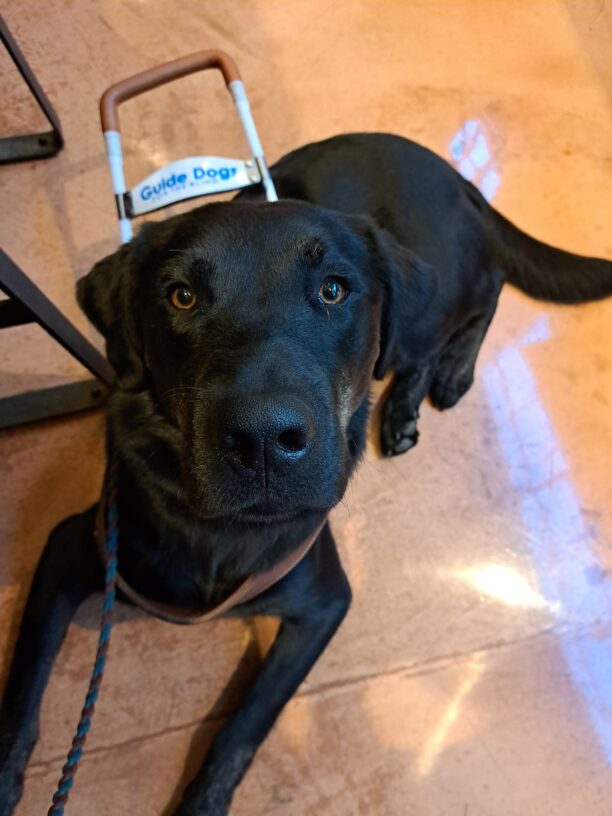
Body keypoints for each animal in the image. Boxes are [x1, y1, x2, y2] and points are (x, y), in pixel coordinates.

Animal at [1, 131, 612, 812]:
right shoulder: (75, 546)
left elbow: (244, 726)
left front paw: (202, 802)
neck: (220, 531)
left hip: (440, 282)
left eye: (333, 291)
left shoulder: (323, 601)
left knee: (484, 292)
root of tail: (450, 173)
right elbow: (21, 698)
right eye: (181, 295)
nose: (265, 440)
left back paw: (442, 377)